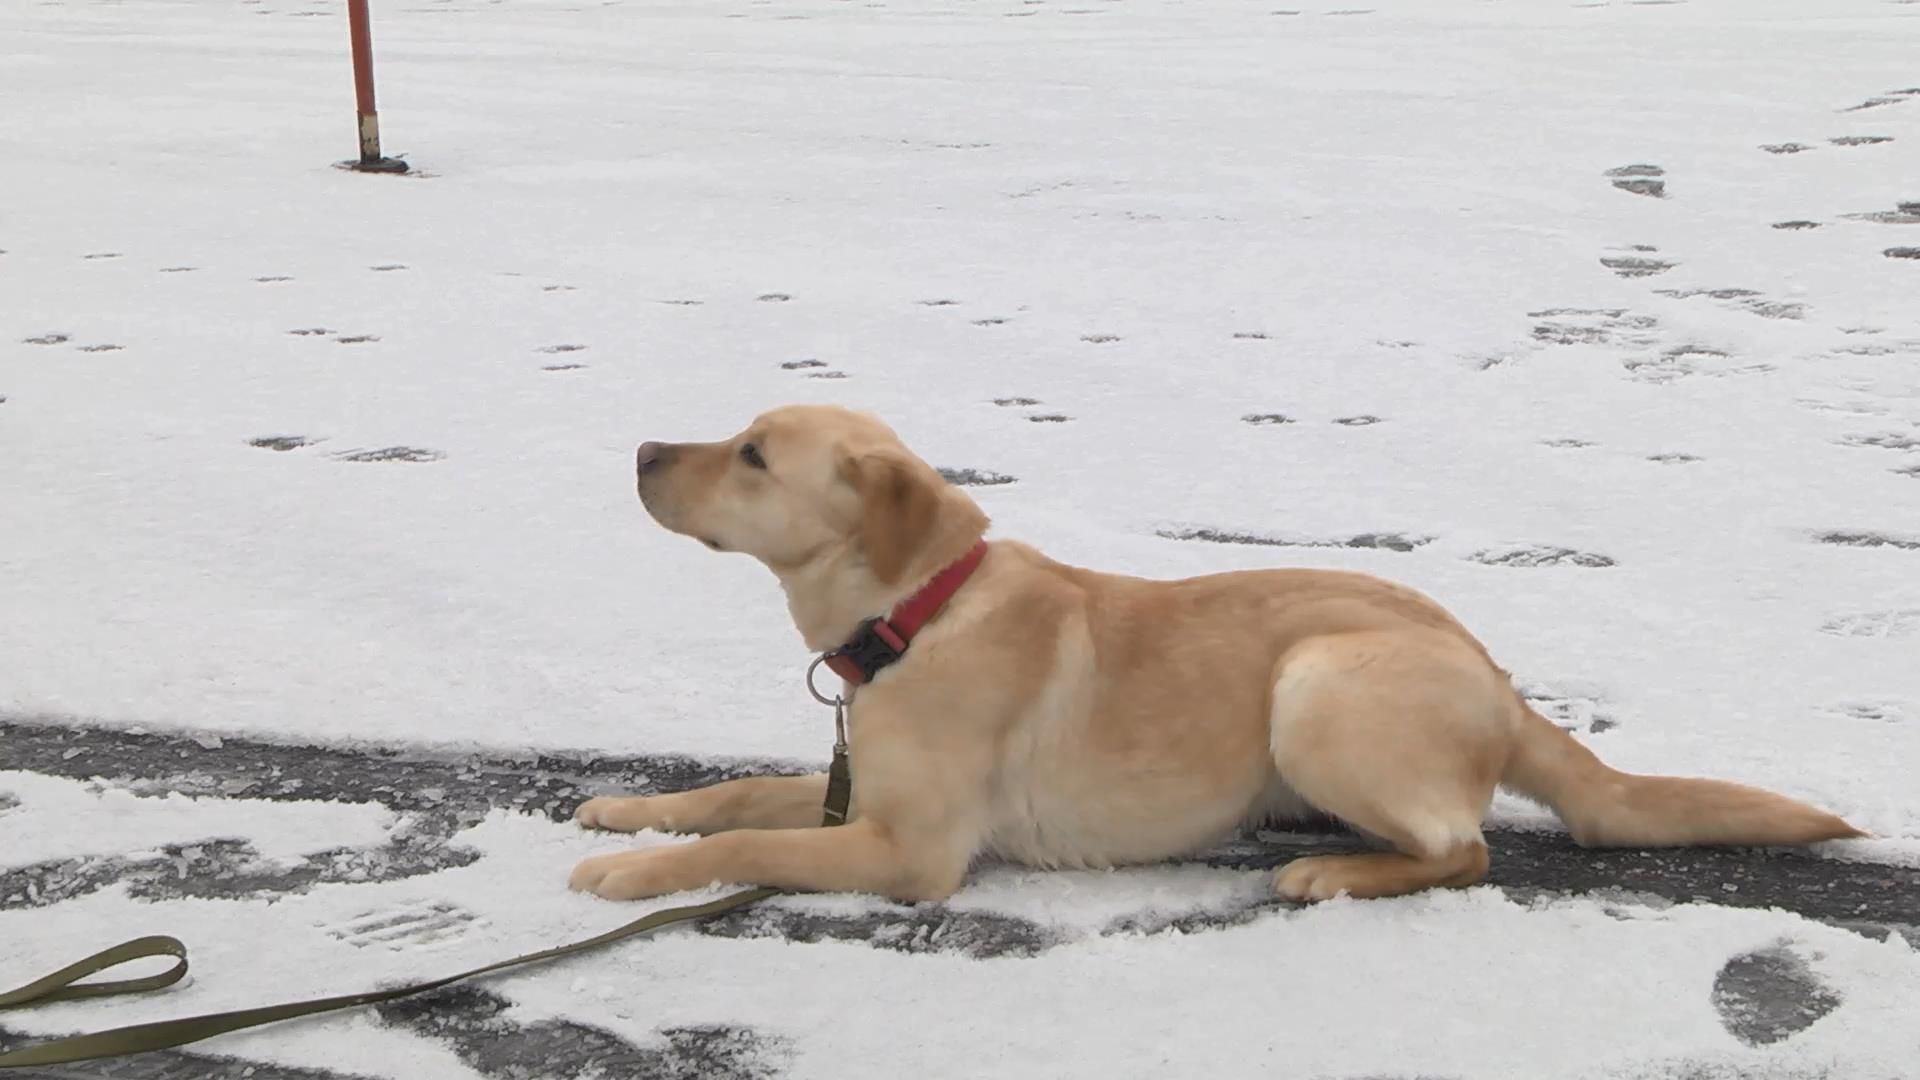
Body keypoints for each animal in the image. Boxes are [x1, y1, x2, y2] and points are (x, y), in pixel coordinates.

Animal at [568, 403, 1858, 899]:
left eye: (752, 454)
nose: (637, 449)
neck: (919, 613)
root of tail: (1497, 677)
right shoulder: (859, 795)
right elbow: (735, 794)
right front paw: (629, 815)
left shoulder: (910, 850)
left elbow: (744, 844)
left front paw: (627, 878)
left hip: (1318, 682)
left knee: (1465, 850)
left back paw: (1336, 873)